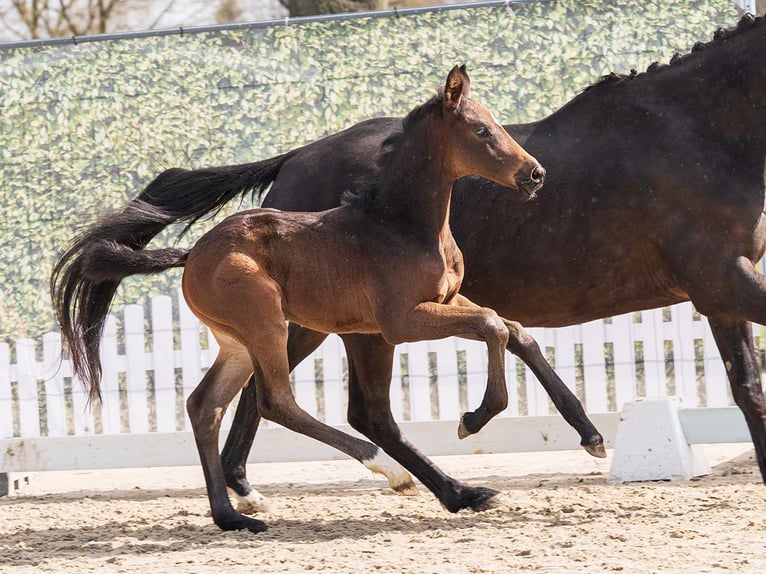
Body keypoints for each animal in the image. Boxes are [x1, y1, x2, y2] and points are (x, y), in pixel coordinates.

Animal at [51, 66, 547, 533]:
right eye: (481, 130)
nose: (535, 174)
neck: (400, 225)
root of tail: (193, 253)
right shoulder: (400, 322)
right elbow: (491, 324)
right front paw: (473, 419)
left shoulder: (447, 299)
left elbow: (504, 325)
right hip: (269, 324)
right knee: (275, 401)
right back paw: (389, 471)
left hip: (239, 343)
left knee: (205, 405)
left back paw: (232, 517)